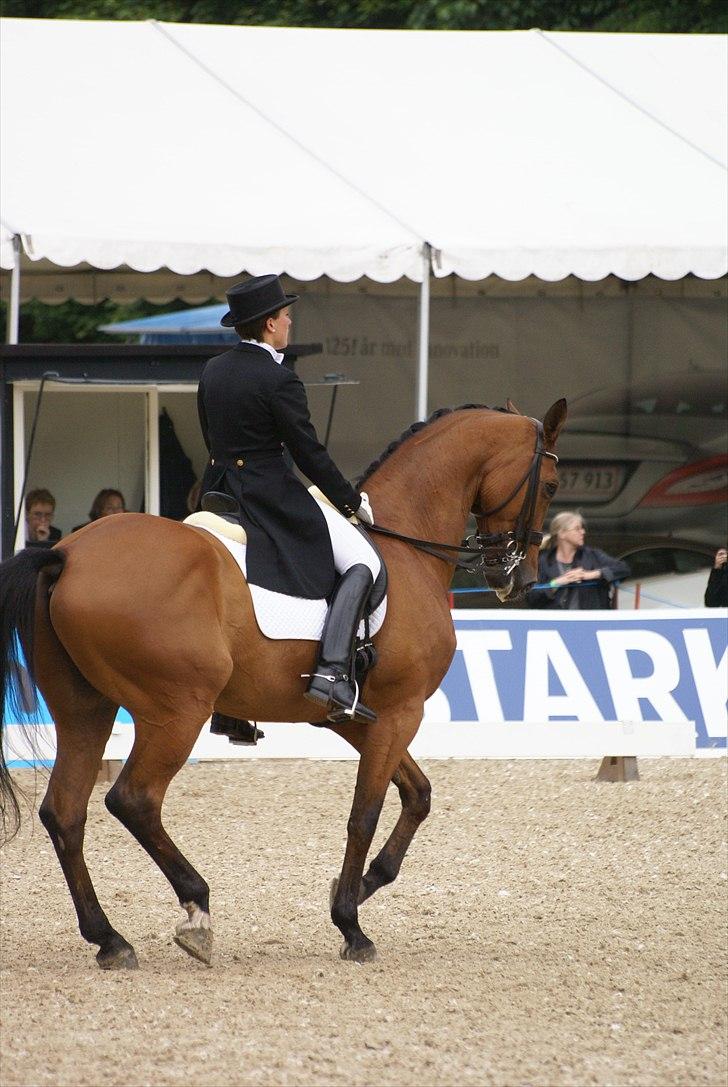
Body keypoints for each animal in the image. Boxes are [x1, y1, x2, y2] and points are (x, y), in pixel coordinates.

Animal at [0, 397, 569, 969]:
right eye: (550, 486)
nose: (518, 580)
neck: (406, 547)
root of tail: (67, 554)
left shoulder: (357, 716)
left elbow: (418, 794)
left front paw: (362, 885)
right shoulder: (401, 710)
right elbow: (364, 813)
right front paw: (351, 924)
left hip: (85, 709)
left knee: (65, 811)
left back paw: (110, 939)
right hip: (177, 711)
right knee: (134, 799)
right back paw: (196, 911)